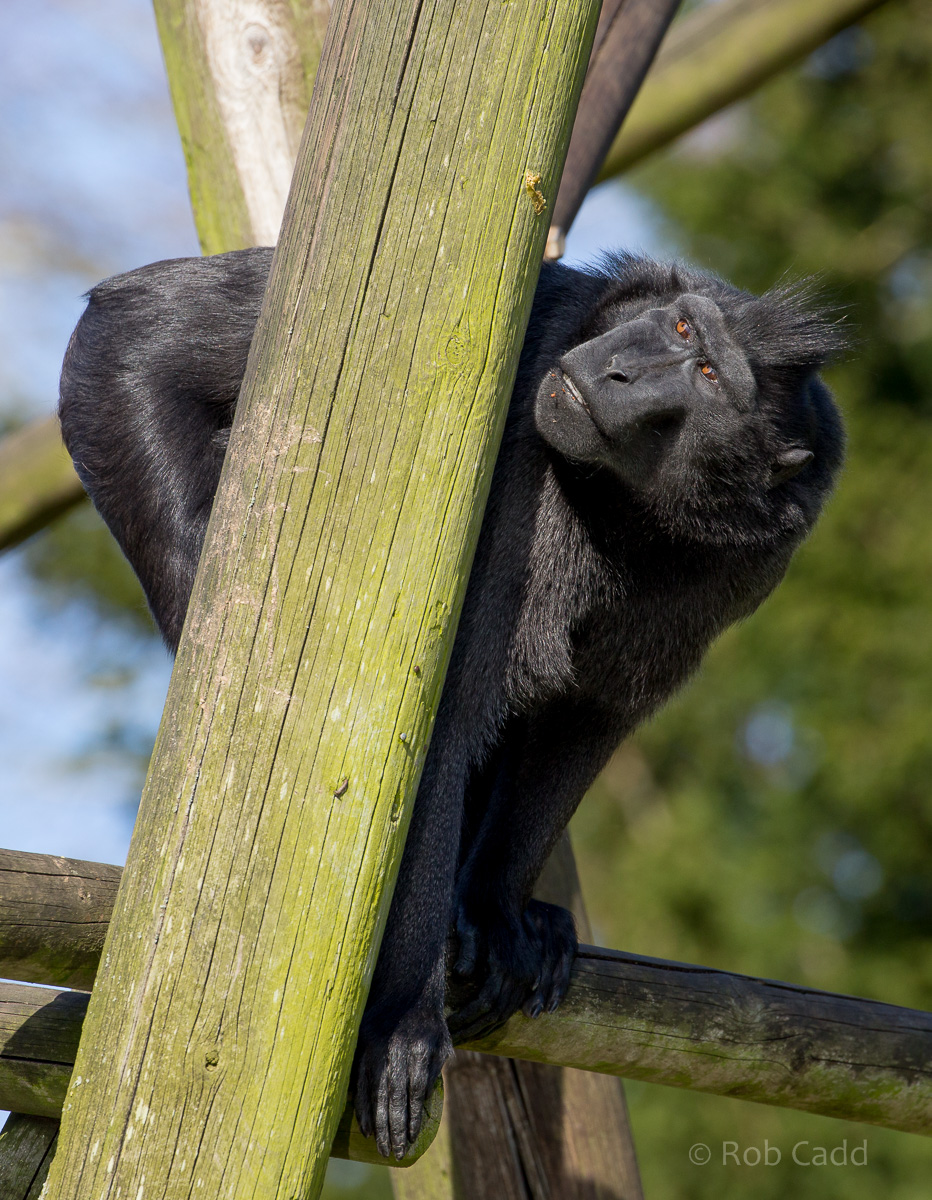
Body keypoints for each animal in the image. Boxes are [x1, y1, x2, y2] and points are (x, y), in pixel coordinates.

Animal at [58, 246, 844, 1158]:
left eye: (710, 372)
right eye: (680, 326)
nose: (619, 369)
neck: (617, 504)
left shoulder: (746, 565)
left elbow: (588, 720)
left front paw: (498, 910)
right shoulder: (526, 392)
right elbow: (139, 322)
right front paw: (404, 1021)